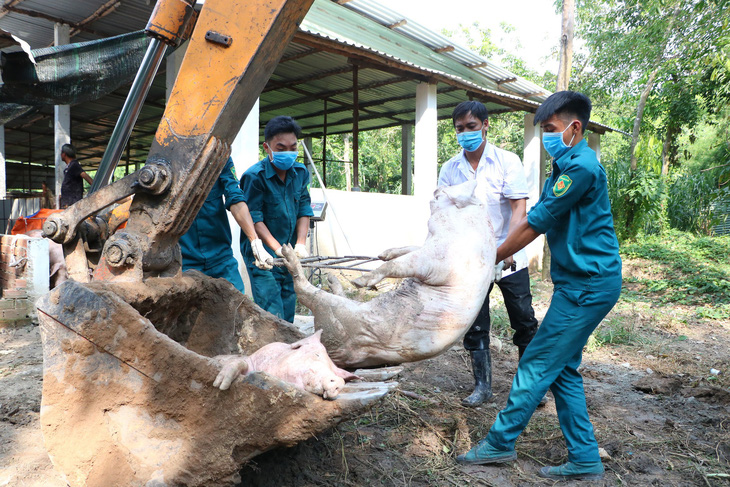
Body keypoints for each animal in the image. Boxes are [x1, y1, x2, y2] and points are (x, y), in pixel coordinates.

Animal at [212, 330, 356, 398]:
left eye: (337, 372)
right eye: (317, 355)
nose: (339, 381)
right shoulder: (252, 359)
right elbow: (239, 362)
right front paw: (220, 386)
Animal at [278, 181, 494, 368]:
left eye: (446, 193)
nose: (437, 187)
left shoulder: (439, 261)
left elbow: (400, 264)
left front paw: (361, 281)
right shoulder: (427, 248)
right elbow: (407, 250)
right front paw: (384, 253)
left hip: (338, 316)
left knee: (307, 293)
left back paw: (289, 253)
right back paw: (331, 279)